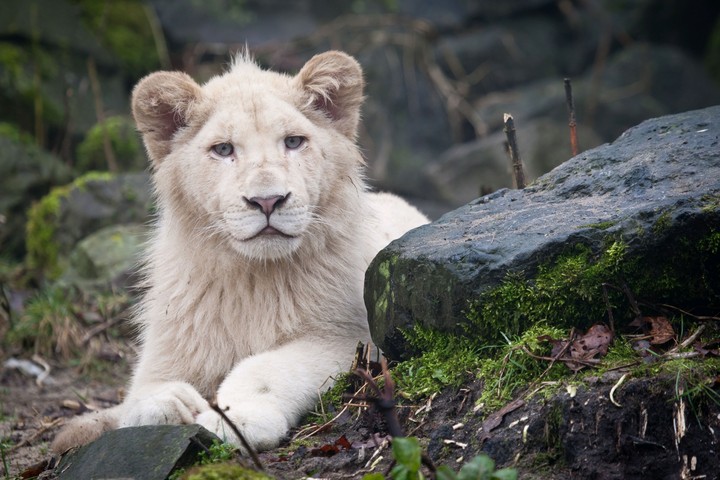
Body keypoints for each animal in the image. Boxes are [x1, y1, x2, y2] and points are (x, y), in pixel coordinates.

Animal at [52, 51, 428, 453]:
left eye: (293, 141)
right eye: (223, 149)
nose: (267, 200)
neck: (251, 279)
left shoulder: (349, 337)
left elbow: (267, 367)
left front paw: (237, 417)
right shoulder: (169, 344)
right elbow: (140, 393)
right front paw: (167, 402)